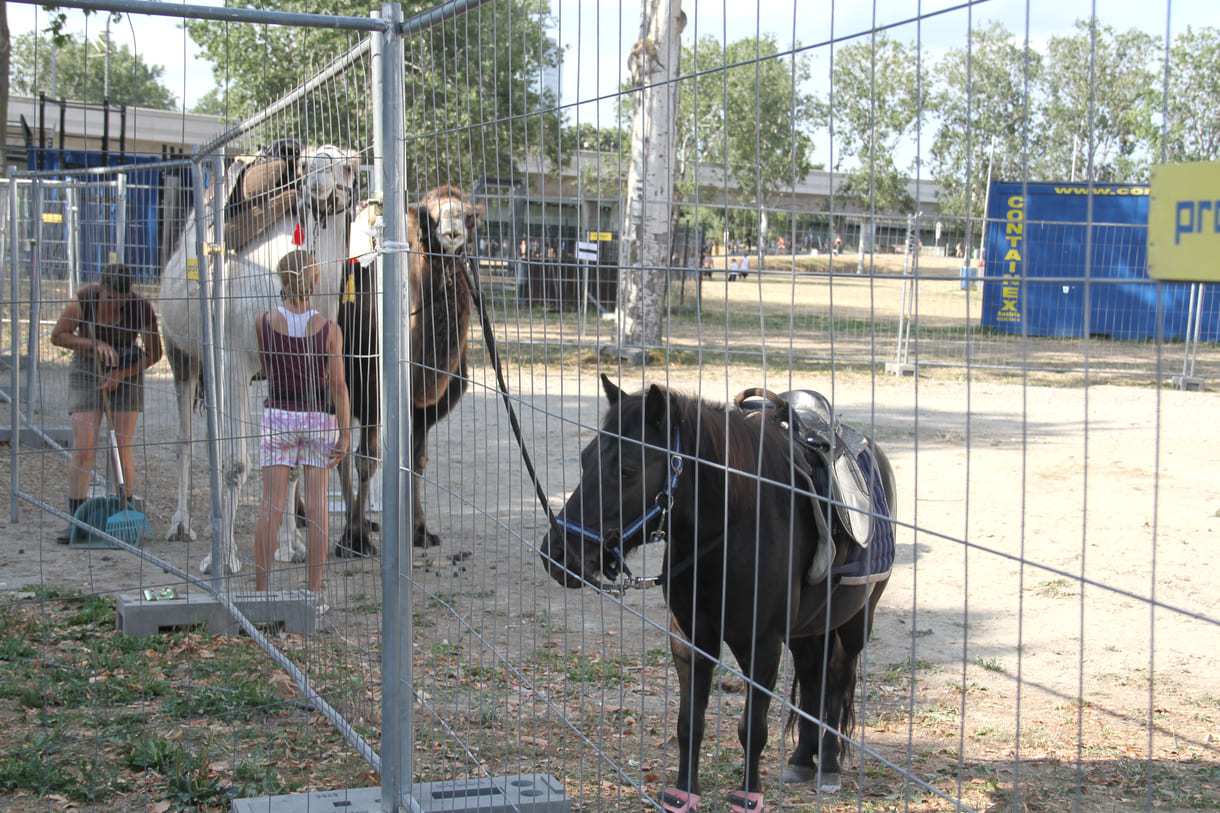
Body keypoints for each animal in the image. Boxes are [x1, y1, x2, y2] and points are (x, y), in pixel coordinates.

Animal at [157, 140, 356, 568]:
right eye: (304, 164)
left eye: (348, 167)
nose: (317, 183)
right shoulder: (233, 360)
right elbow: (235, 463)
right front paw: (223, 560)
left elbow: (295, 462)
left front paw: (289, 547)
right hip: (181, 352)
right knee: (186, 440)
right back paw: (182, 525)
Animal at [539, 375, 893, 810]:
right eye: (586, 459)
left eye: (627, 470)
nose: (557, 553)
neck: (732, 527)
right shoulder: (690, 639)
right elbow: (688, 723)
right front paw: (683, 793)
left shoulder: (763, 647)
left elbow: (752, 729)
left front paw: (748, 796)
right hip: (808, 629)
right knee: (813, 679)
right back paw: (800, 759)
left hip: (855, 622)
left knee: (838, 681)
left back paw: (827, 764)